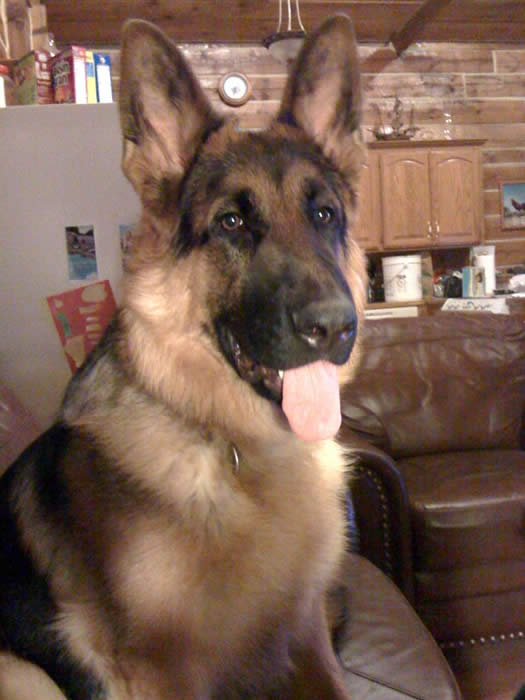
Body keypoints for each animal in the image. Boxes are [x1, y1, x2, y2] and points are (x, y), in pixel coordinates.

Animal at [0, 14, 367, 699]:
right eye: (230, 224)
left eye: (324, 213)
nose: (335, 326)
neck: (238, 450)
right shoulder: (163, 671)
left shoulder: (309, 631)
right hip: (24, 673)